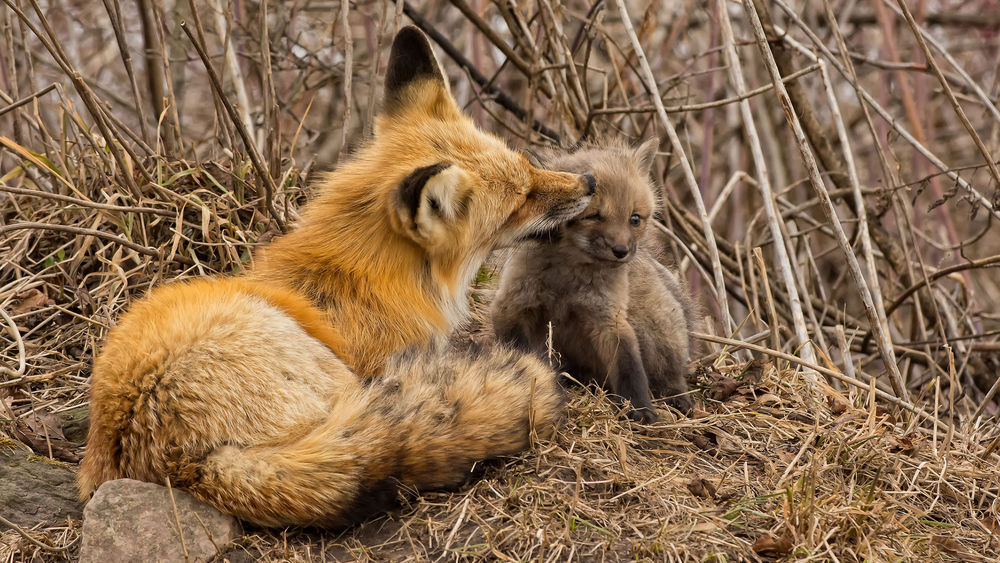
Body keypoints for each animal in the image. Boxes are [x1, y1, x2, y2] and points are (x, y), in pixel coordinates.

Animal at [77, 27, 596, 528]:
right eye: (521, 200)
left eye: (526, 163)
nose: (589, 182)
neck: (366, 274)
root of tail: (183, 460)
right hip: (317, 366)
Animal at [491, 139, 696, 423]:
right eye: (594, 216)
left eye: (634, 219)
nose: (621, 251)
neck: (566, 280)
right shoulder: (512, 306)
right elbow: (520, 350)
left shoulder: (609, 318)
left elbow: (630, 369)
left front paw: (641, 410)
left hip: (655, 332)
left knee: (670, 376)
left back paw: (677, 397)